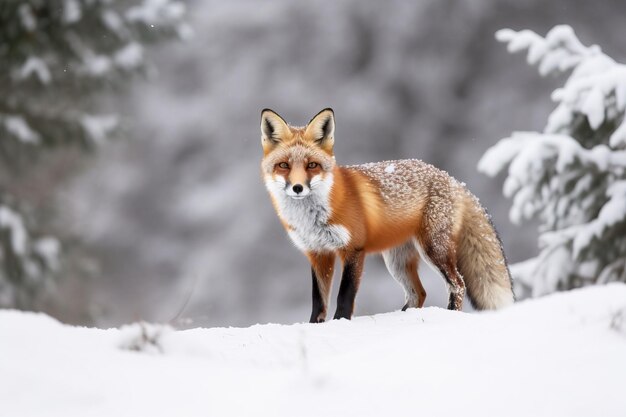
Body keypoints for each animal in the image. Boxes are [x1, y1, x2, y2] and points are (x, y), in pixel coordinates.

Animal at [258, 107, 512, 322]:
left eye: (312, 165)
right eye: (283, 165)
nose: (297, 188)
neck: (312, 218)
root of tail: (452, 178)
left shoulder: (354, 249)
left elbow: (344, 297)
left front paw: (340, 324)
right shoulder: (318, 253)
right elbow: (318, 302)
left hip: (433, 248)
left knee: (458, 284)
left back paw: (448, 315)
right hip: (397, 261)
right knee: (418, 293)